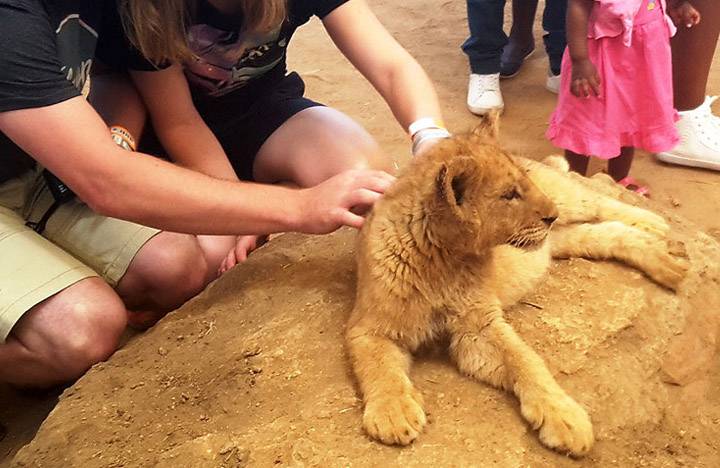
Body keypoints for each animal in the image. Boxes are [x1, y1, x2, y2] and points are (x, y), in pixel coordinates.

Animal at [346, 113, 688, 458]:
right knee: (607, 234)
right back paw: (669, 265)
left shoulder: (481, 325)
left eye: (523, 182)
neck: (444, 258)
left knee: (602, 202)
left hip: (568, 199)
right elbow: (379, 367)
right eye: (509, 194)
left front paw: (564, 417)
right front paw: (393, 412)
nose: (551, 215)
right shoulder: (369, 328)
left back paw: (655, 224)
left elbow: (526, 360)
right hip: (562, 240)